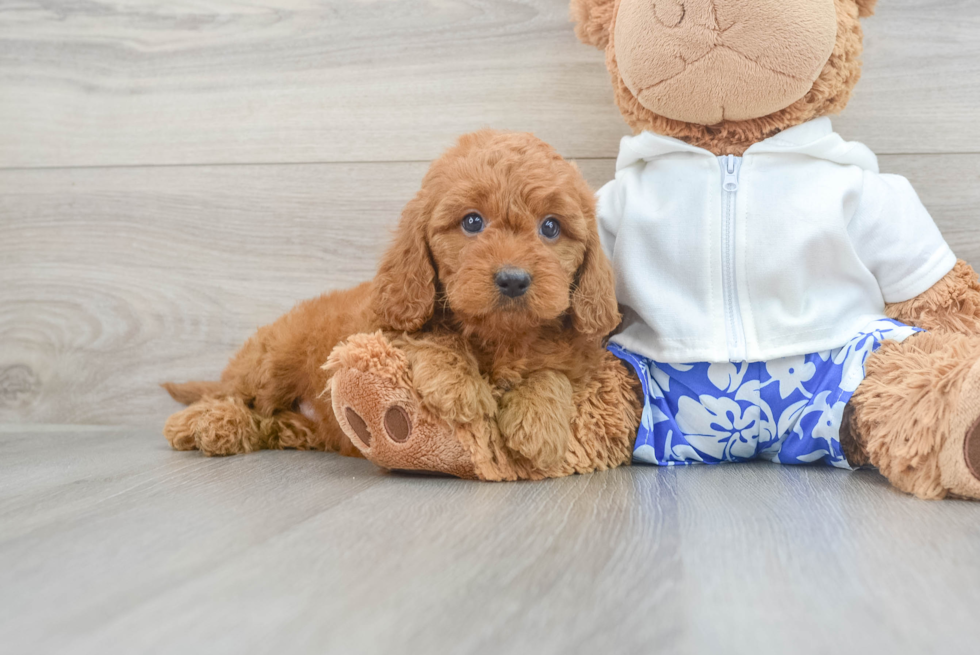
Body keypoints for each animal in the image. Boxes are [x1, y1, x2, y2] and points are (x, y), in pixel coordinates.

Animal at [165, 129, 640, 482]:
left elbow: (552, 373)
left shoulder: (577, 355)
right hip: (271, 363)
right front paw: (460, 387)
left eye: (550, 228)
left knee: (267, 420)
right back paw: (203, 424)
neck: (500, 335)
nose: (513, 279)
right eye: (472, 222)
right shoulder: (380, 322)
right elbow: (428, 338)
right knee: (233, 396)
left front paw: (538, 423)